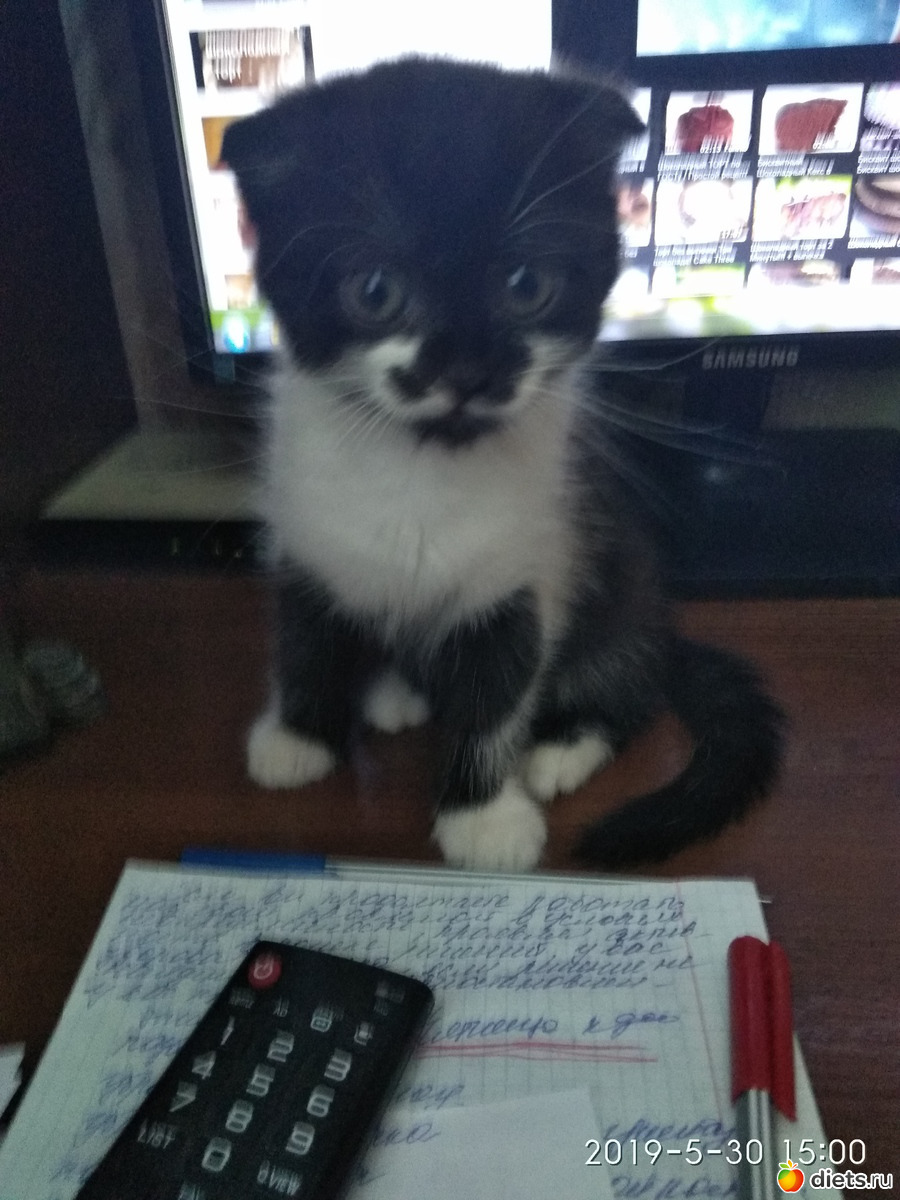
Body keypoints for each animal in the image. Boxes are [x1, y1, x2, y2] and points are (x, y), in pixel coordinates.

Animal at [221, 57, 782, 873]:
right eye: (375, 291)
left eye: (526, 285)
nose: (467, 372)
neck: (421, 463)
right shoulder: (305, 536)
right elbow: (304, 637)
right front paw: (298, 738)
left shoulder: (525, 570)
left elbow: (495, 695)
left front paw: (482, 817)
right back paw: (397, 692)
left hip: (623, 576)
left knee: (629, 687)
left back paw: (562, 749)